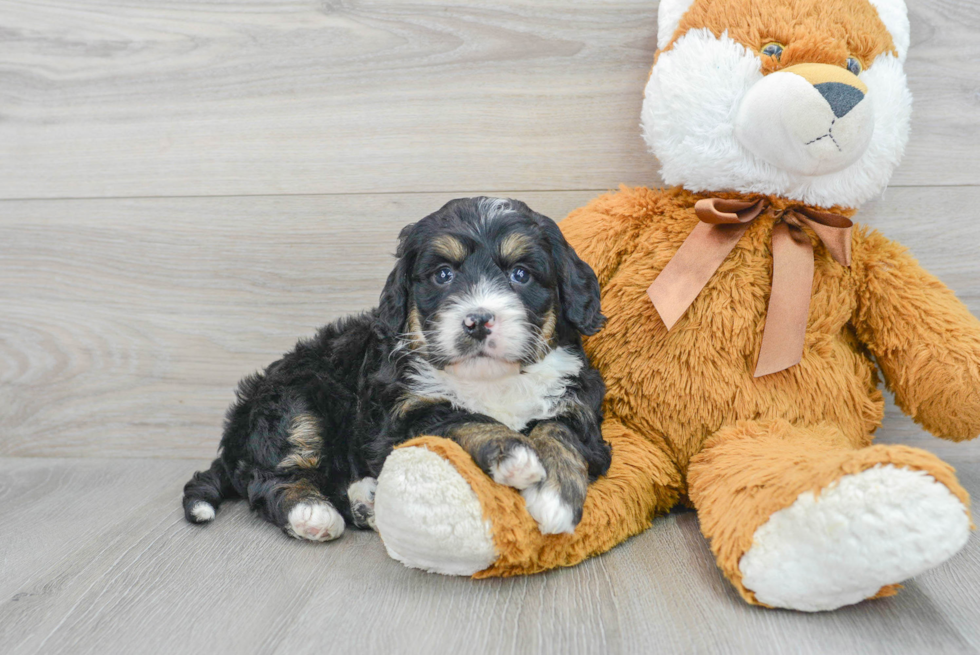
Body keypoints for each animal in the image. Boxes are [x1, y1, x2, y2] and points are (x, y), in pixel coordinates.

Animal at [183, 196, 608, 544]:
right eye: (443, 275)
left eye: (521, 274)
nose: (477, 321)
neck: (490, 380)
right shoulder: (402, 417)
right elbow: (462, 418)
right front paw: (514, 453)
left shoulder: (581, 408)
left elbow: (559, 431)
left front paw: (557, 496)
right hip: (295, 402)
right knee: (268, 477)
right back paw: (312, 513)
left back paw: (364, 503)